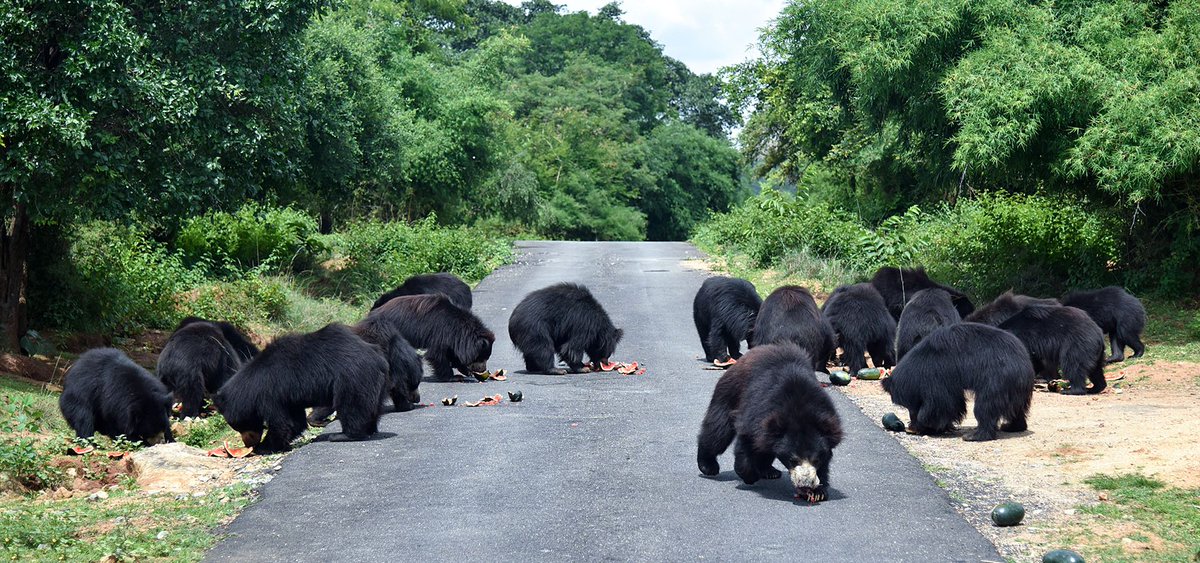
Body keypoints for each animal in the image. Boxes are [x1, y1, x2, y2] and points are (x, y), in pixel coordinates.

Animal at [213, 323, 389, 453]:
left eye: (240, 425)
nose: (248, 444)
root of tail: (379, 359)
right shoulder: (288, 396)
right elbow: (295, 421)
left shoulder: (270, 393)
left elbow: (282, 423)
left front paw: (262, 448)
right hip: (376, 383)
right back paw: (370, 429)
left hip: (353, 378)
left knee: (352, 407)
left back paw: (344, 435)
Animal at [696, 344, 843, 502]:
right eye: (793, 460)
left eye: (816, 460)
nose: (805, 483)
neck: (799, 409)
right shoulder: (757, 414)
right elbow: (747, 443)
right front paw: (750, 476)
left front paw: (817, 492)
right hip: (729, 393)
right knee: (717, 431)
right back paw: (708, 466)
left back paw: (769, 471)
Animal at [881, 323, 1035, 441]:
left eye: (909, 404)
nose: (910, 425)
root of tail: (1026, 363)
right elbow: (953, 403)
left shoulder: (937, 375)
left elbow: (941, 403)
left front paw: (924, 425)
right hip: (1013, 387)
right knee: (1016, 409)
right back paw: (1012, 426)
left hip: (997, 380)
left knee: (985, 406)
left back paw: (974, 435)